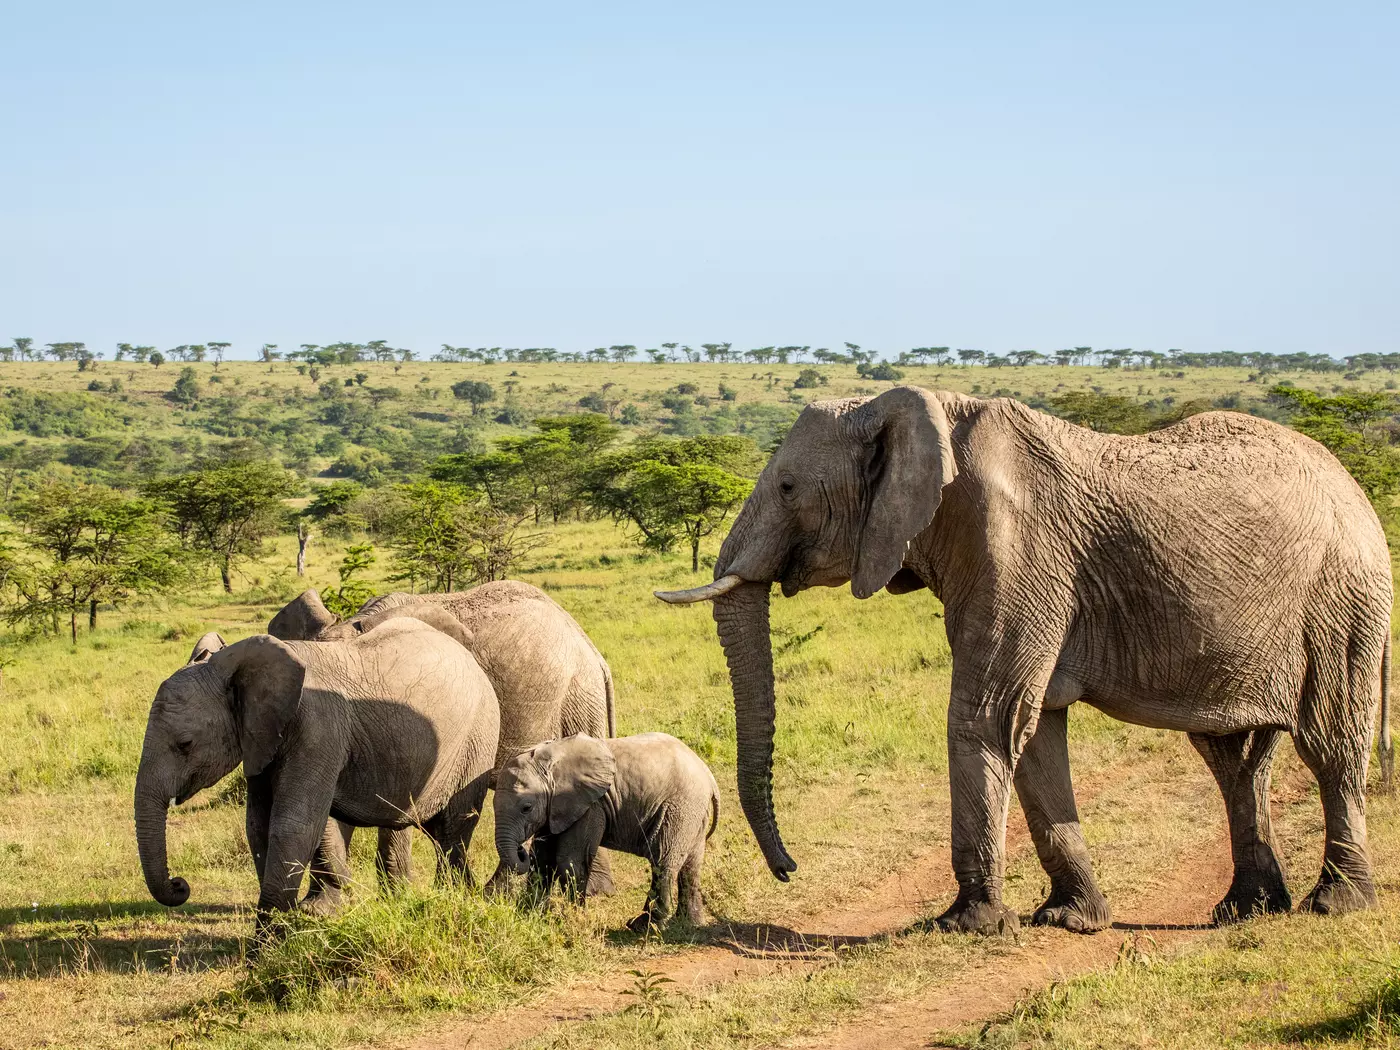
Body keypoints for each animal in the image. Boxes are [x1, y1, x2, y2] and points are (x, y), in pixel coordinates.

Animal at [134, 618, 500, 927]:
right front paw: (314, 914)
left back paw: (452, 897)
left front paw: (266, 948)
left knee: (454, 826)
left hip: (478, 736)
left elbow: (294, 825)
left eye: (185, 744)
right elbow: (259, 825)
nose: (179, 885)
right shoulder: (261, 739)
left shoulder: (318, 728)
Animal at [494, 733, 719, 930]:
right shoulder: (557, 808)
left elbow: (569, 861)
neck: (548, 761)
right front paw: (529, 916)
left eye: (526, 808)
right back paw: (690, 924)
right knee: (691, 866)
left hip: (680, 807)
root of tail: (708, 775)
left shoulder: (589, 805)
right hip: (694, 812)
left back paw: (644, 926)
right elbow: (542, 860)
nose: (520, 849)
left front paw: (572, 918)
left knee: (663, 862)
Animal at [657, 386, 1393, 934]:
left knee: (1329, 742)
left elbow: (989, 713)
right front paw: (1069, 919)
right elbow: (1036, 729)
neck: (915, 412)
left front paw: (967, 924)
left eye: (786, 487)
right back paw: (1246, 911)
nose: (789, 870)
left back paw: (1335, 904)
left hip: (1343, 602)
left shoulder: (1017, 550)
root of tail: (1355, 487)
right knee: (1234, 756)